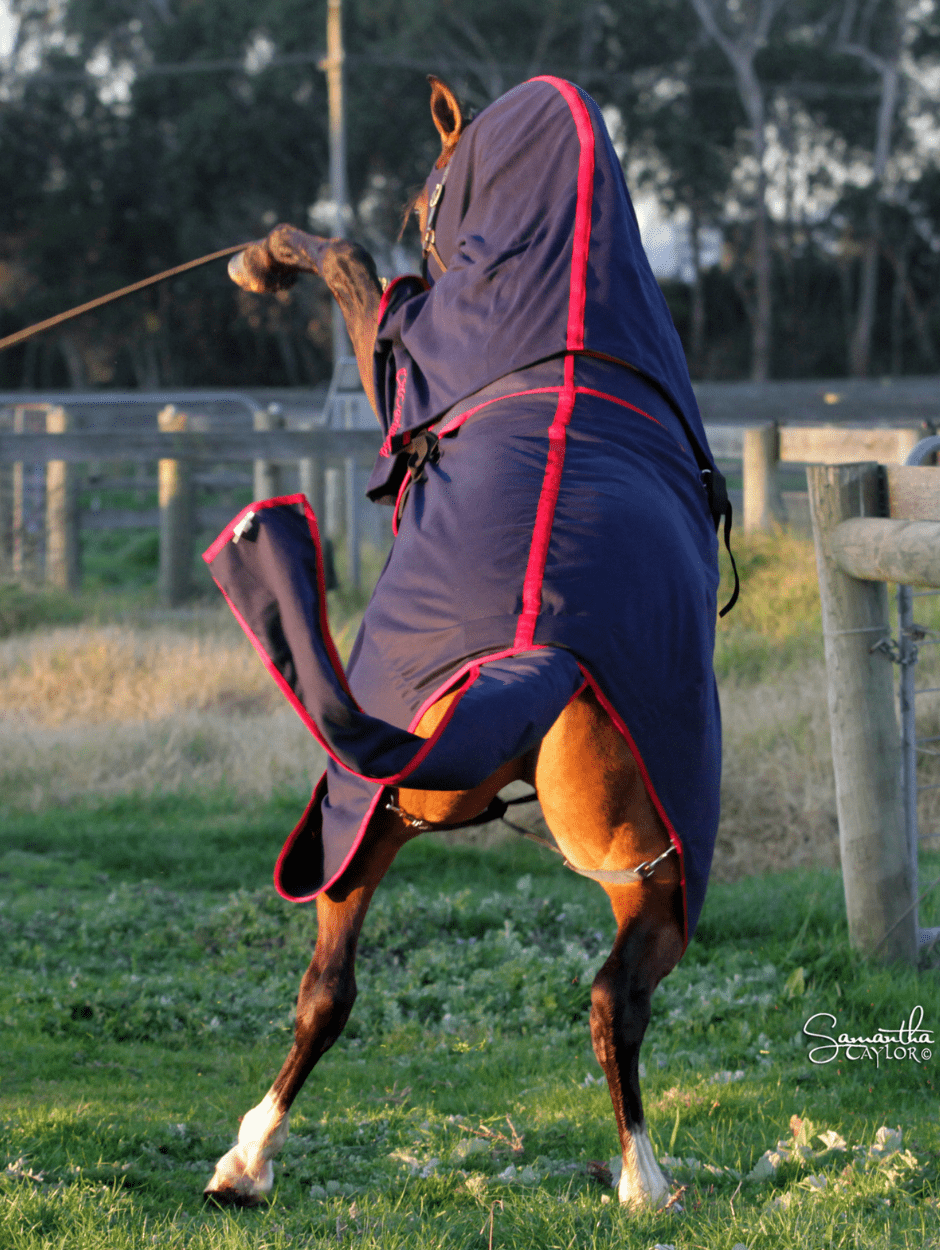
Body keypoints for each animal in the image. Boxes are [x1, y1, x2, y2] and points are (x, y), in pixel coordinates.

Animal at [200, 73, 725, 1205]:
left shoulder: (396, 361)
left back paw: (248, 1159)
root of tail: (540, 655)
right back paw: (642, 1178)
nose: (429, 227)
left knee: (332, 987)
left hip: (372, 816)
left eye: (428, 191)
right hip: (641, 875)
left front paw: (269, 254)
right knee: (610, 997)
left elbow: (352, 270)